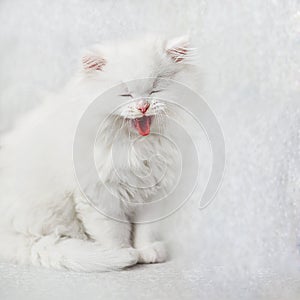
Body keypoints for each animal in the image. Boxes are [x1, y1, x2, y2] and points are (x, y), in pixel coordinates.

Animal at [0, 35, 197, 272]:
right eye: (125, 93)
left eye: (155, 89)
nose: (143, 106)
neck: (137, 147)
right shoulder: (100, 195)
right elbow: (113, 232)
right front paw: (124, 255)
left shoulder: (154, 194)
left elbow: (146, 230)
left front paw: (147, 252)